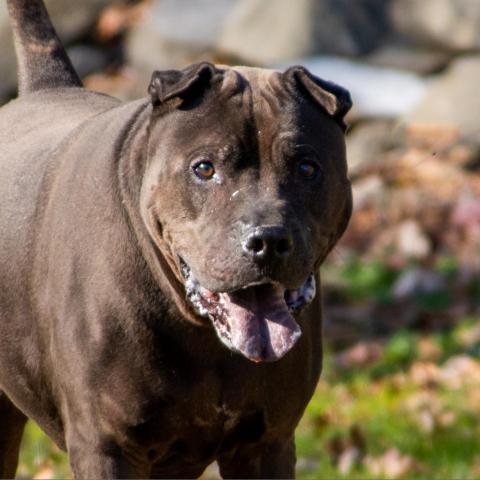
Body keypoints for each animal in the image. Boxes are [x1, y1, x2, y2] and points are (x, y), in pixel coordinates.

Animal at [0, 0, 352, 476]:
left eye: (306, 168)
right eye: (204, 168)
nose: (267, 240)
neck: (201, 333)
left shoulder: (266, 444)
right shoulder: (106, 448)